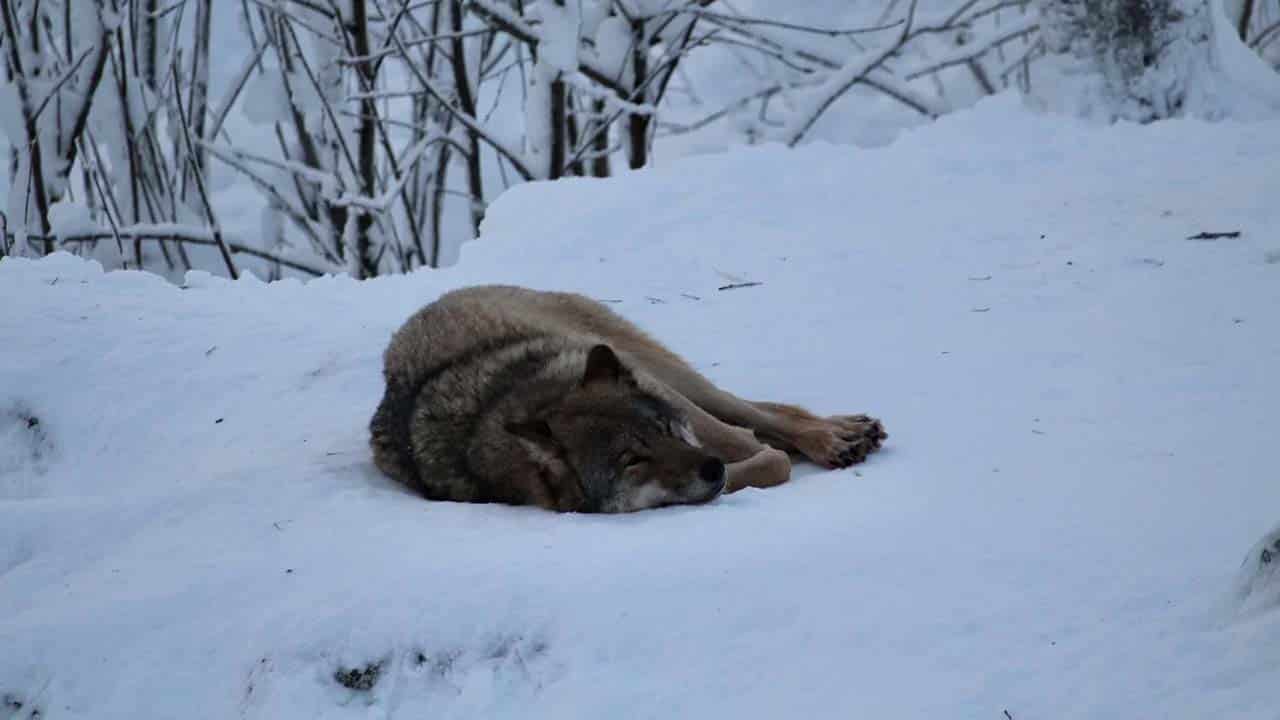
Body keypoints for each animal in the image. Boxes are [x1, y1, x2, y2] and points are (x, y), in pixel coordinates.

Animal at [369, 285, 886, 513]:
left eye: (662, 429)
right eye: (633, 460)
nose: (710, 469)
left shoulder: (678, 406)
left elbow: (764, 454)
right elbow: (759, 463)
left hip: (664, 371)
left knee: (762, 413)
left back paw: (837, 437)